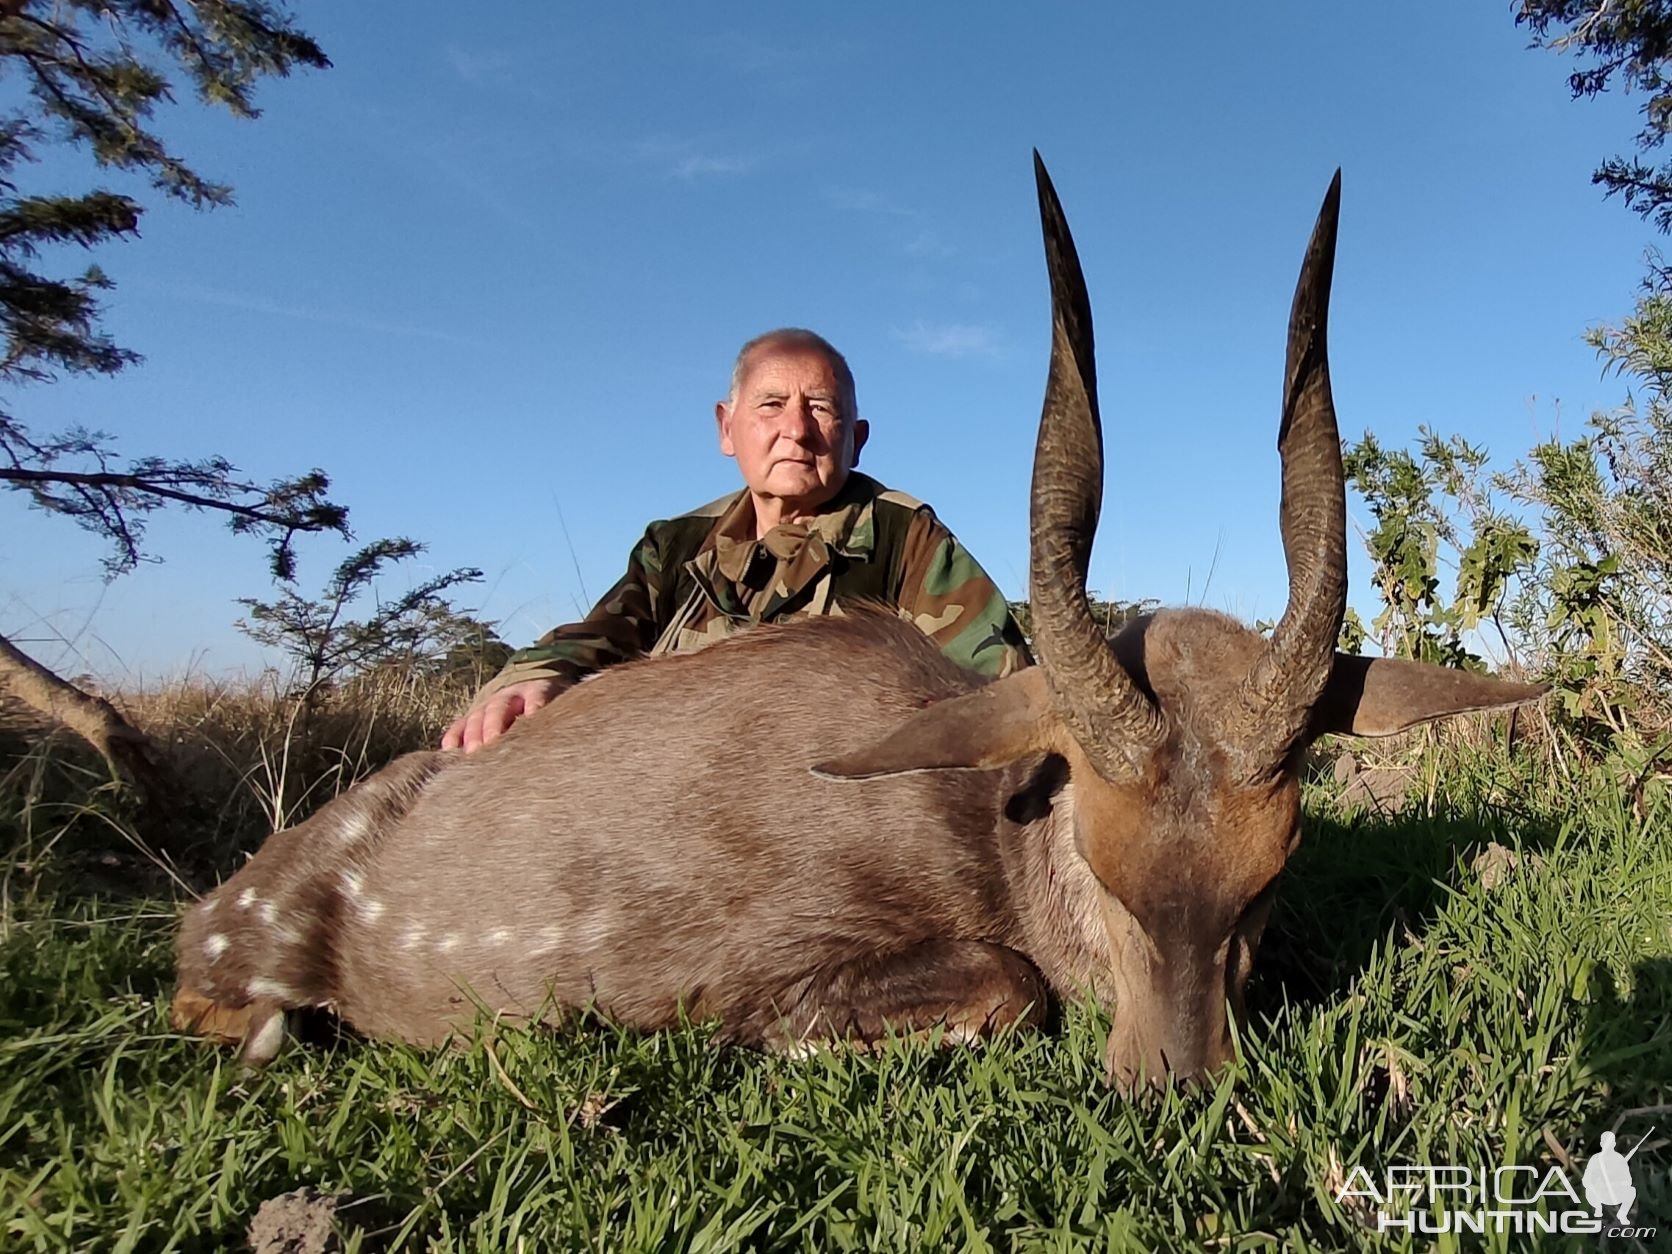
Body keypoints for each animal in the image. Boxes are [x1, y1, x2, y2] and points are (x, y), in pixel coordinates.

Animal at [176, 157, 1544, 1096]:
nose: (1173, 1088)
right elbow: (1003, 988)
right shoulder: (776, 968)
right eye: (1101, 866)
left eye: (1267, 880)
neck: (988, 823)